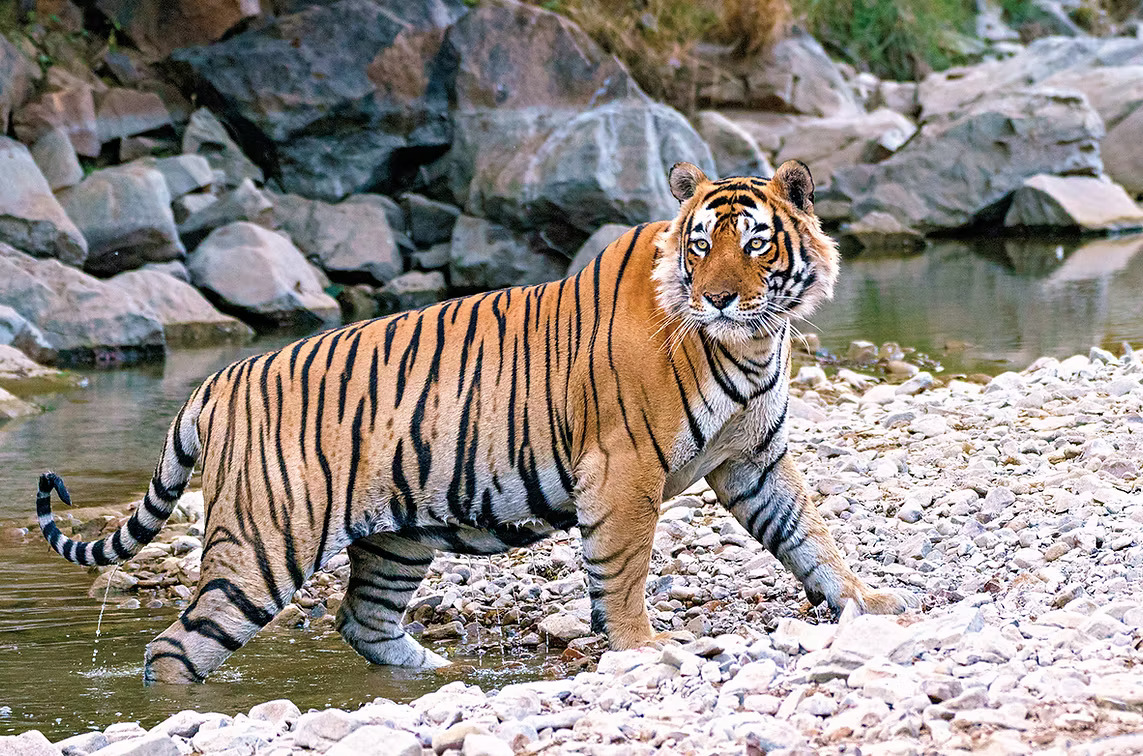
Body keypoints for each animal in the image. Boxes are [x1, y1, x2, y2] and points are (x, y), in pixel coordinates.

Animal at [35, 159, 913, 683]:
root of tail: (216, 381)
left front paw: (865, 602)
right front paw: (643, 647)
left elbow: (809, 535)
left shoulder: (753, 461)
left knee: (362, 620)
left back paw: (434, 675)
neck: (752, 342)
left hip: (393, 538)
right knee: (176, 646)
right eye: (698, 247)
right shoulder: (624, 467)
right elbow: (623, 568)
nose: (718, 298)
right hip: (263, 542)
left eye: (755, 246)